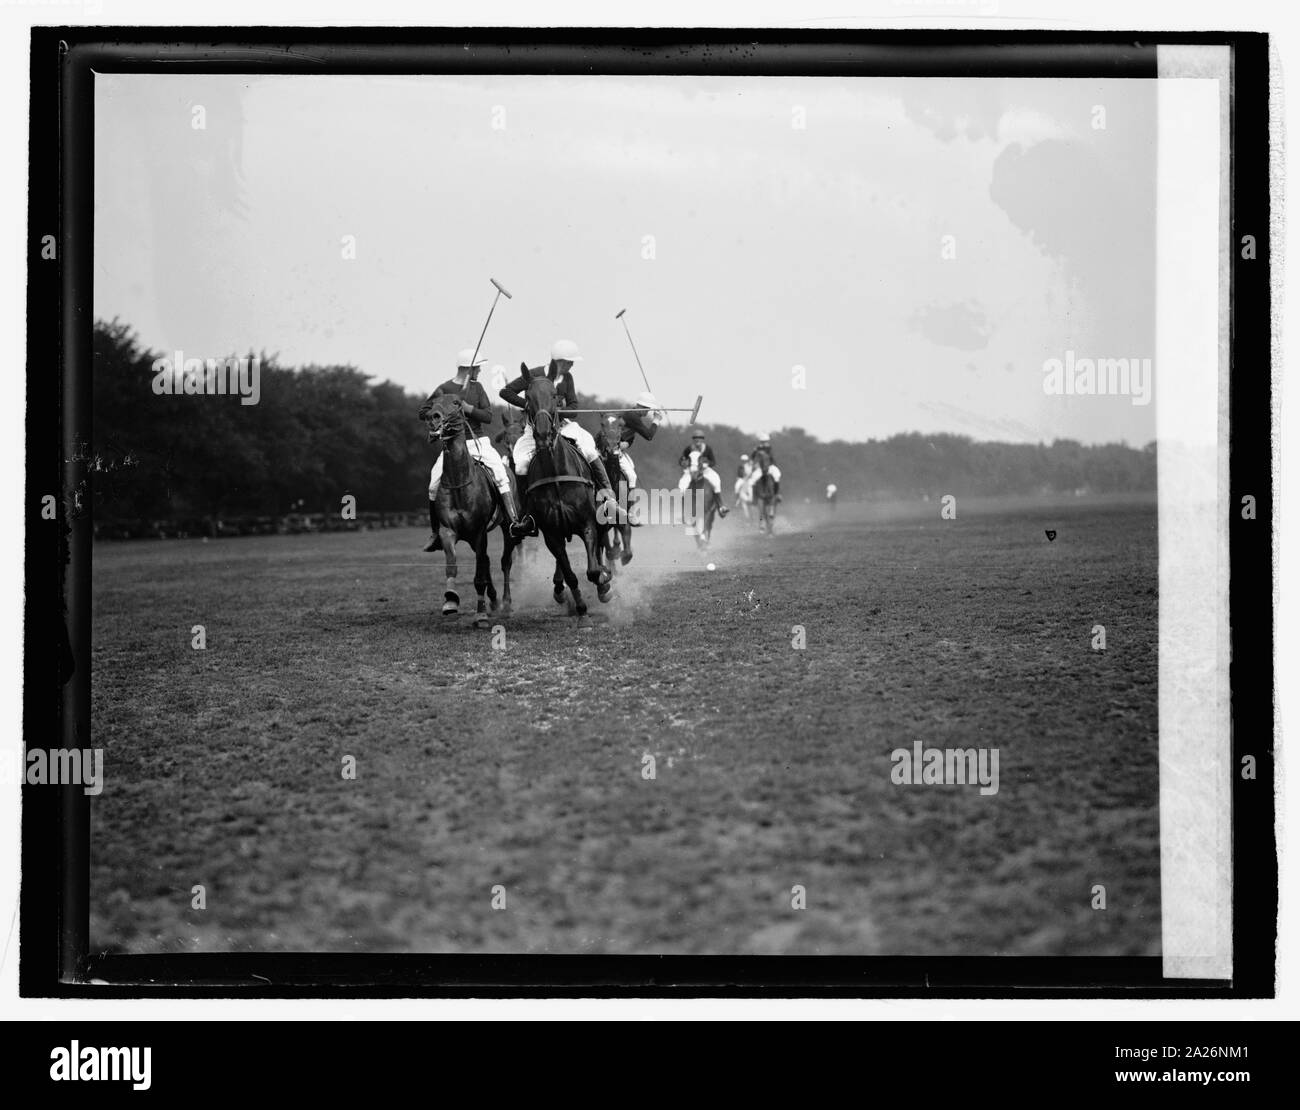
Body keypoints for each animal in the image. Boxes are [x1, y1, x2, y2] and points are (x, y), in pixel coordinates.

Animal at [423, 392, 520, 626]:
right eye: (432, 403)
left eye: (457, 403)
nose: (433, 417)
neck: (459, 482)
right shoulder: (449, 531)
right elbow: (452, 565)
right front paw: (450, 601)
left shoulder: (479, 532)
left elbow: (480, 576)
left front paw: (481, 615)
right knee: (485, 561)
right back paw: (493, 601)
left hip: (506, 528)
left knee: (504, 561)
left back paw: (505, 603)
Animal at [520, 374, 611, 616]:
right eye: (528, 397)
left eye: (554, 395)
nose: (543, 434)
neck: (556, 474)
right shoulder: (551, 533)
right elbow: (570, 573)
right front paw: (579, 605)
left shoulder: (588, 523)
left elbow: (593, 570)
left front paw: (604, 585)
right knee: (561, 563)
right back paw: (559, 589)